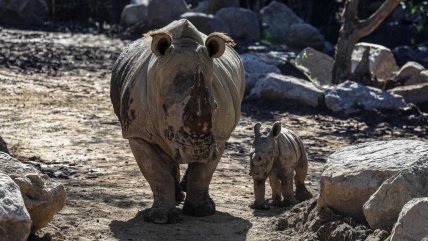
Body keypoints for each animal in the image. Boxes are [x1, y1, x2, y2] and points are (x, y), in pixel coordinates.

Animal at [110, 19, 244, 224]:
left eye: (215, 106)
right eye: (164, 108)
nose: (197, 152)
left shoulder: (220, 135)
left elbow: (203, 173)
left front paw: (201, 211)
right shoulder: (138, 132)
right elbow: (157, 173)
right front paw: (160, 219)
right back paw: (176, 197)